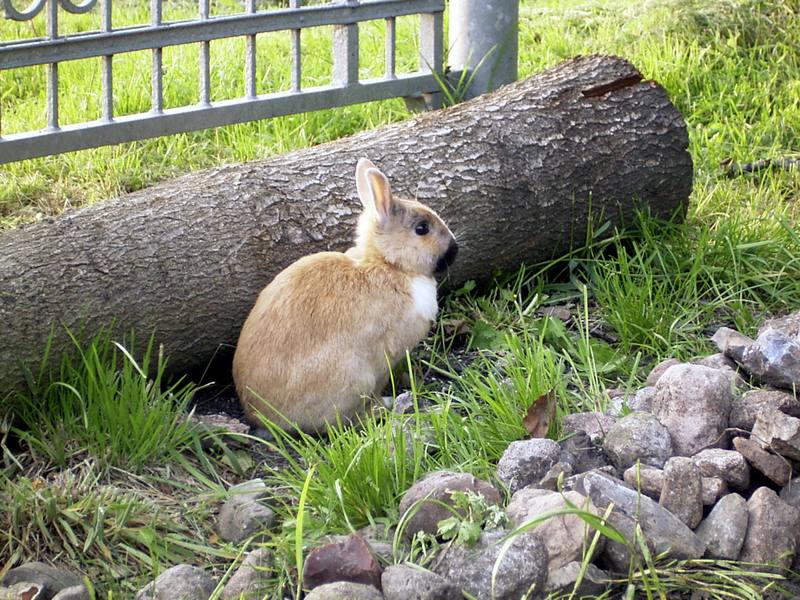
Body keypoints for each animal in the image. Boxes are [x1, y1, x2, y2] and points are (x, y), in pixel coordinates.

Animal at [231, 158, 456, 432]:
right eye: (422, 229)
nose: (455, 249)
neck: (390, 265)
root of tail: (263, 418)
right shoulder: (385, 359)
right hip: (356, 378)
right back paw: (385, 405)